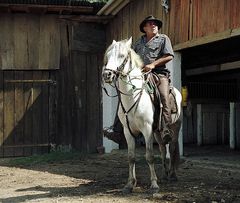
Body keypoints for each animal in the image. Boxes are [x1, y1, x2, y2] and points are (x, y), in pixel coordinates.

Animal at [101, 38, 182, 193]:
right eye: (108, 55)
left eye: (122, 55)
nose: (107, 75)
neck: (132, 96)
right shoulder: (128, 131)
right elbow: (131, 157)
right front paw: (130, 184)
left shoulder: (147, 129)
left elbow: (149, 156)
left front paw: (154, 185)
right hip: (158, 132)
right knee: (163, 149)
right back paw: (164, 174)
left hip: (174, 128)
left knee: (173, 148)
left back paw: (173, 175)